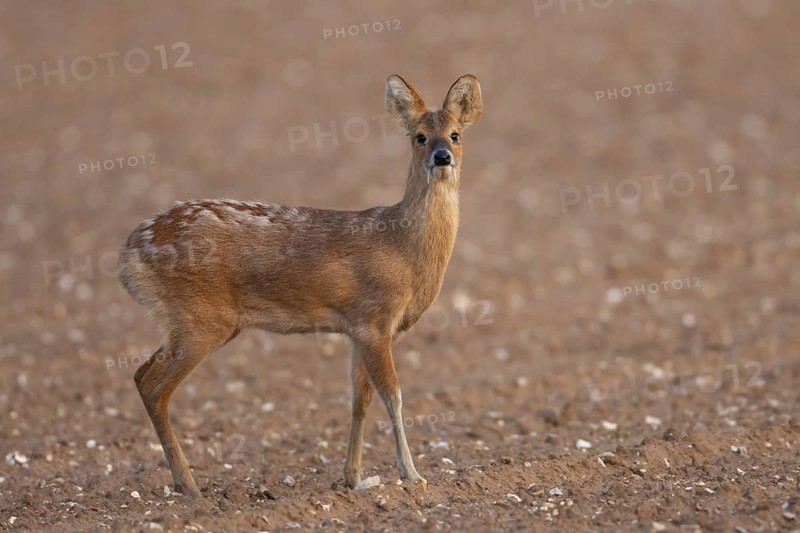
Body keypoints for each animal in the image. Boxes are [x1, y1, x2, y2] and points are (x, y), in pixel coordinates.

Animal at [117, 74, 483, 496]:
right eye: (419, 136)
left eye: (456, 134)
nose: (442, 157)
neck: (405, 250)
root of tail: (127, 255)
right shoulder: (374, 320)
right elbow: (393, 396)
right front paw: (411, 474)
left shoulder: (357, 328)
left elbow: (360, 399)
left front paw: (353, 477)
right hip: (200, 320)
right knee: (154, 385)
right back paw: (189, 486)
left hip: (184, 322)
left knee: (141, 373)